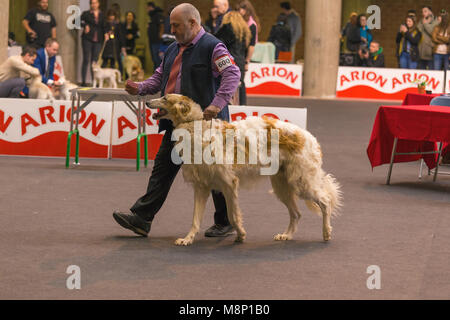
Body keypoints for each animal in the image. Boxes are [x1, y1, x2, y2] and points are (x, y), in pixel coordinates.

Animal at [149, 94, 342, 246]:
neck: (196, 127)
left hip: (301, 181)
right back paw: (286, 235)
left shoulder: (229, 183)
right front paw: (187, 239)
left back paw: (326, 232)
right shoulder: (201, 187)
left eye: (165, 98)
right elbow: (195, 219)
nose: (148, 102)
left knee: (325, 201)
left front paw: (240, 235)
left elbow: (232, 215)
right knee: (297, 213)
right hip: (282, 186)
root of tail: (309, 136)